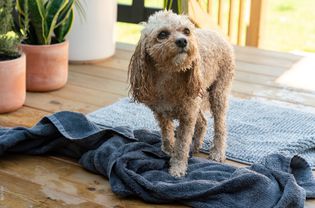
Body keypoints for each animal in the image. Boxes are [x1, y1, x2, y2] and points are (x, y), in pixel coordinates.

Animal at [128, 10, 235, 177]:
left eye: (186, 31)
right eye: (162, 34)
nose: (183, 41)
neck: (169, 76)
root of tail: (218, 35)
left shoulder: (187, 116)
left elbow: (182, 145)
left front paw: (177, 167)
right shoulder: (161, 112)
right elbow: (167, 134)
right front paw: (168, 149)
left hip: (218, 93)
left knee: (220, 126)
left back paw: (217, 152)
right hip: (197, 100)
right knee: (203, 122)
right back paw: (196, 145)